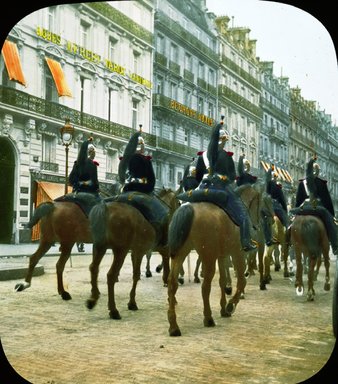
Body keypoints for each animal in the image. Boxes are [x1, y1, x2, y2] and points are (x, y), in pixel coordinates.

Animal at [84, 188, 180, 320]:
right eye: (178, 202)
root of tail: (106, 208)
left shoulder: (137, 252)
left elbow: (136, 275)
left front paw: (132, 303)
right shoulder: (164, 251)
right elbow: (166, 276)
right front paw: (172, 299)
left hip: (99, 247)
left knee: (94, 268)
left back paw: (92, 300)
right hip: (120, 250)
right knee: (111, 275)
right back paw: (113, 310)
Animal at [166, 183, 264, 336]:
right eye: (259, 204)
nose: (257, 225)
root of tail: (188, 209)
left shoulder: (222, 256)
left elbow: (222, 281)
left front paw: (224, 309)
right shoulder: (237, 253)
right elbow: (242, 281)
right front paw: (230, 305)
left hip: (181, 253)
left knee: (172, 284)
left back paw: (174, 326)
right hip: (208, 257)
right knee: (205, 286)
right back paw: (208, 318)